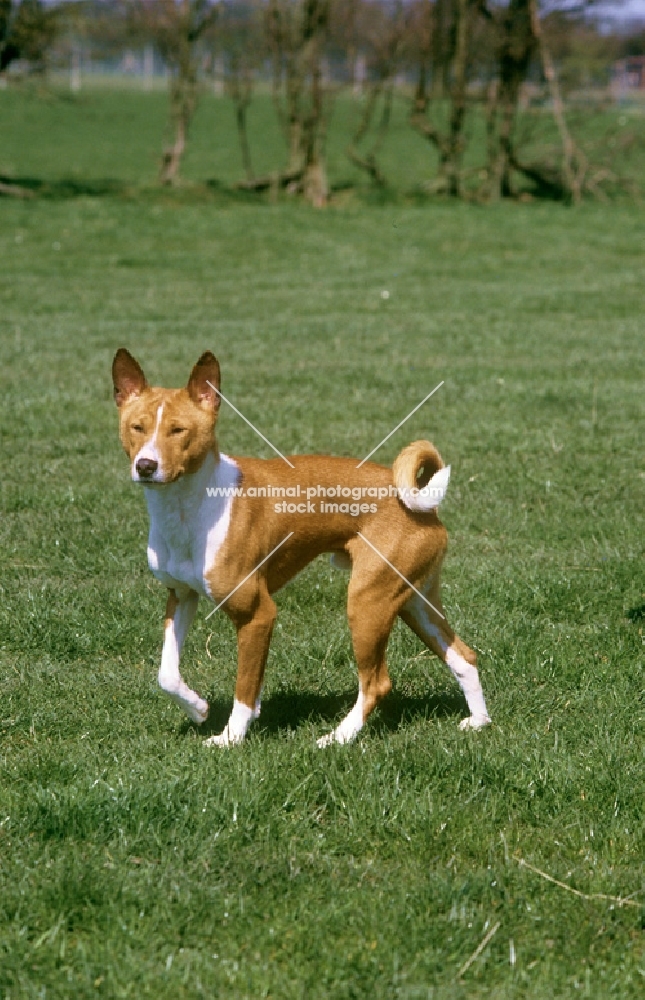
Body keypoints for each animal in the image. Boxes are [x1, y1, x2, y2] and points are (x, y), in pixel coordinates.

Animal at [113, 348, 490, 748]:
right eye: (137, 427)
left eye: (178, 430)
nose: (146, 465)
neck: (189, 509)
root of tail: (424, 506)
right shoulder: (181, 595)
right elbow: (167, 675)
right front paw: (198, 709)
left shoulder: (257, 612)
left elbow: (244, 688)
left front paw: (231, 737)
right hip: (413, 600)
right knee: (465, 657)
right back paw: (479, 721)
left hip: (367, 601)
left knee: (376, 683)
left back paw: (338, 738)